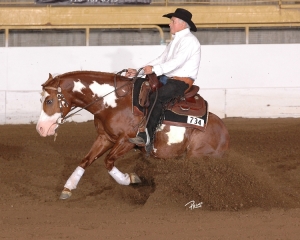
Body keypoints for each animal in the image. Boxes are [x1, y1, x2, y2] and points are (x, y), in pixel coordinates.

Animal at [37, 70, 230, 200]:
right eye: (41, 99)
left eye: (49, 100)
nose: (40, 129)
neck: (113, 103)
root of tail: (223, 133)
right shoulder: (105, 138)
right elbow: (86, 160)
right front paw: (68, 187)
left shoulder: (127, 141)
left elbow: (108, 161)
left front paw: (130, 179)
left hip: (197, 156)